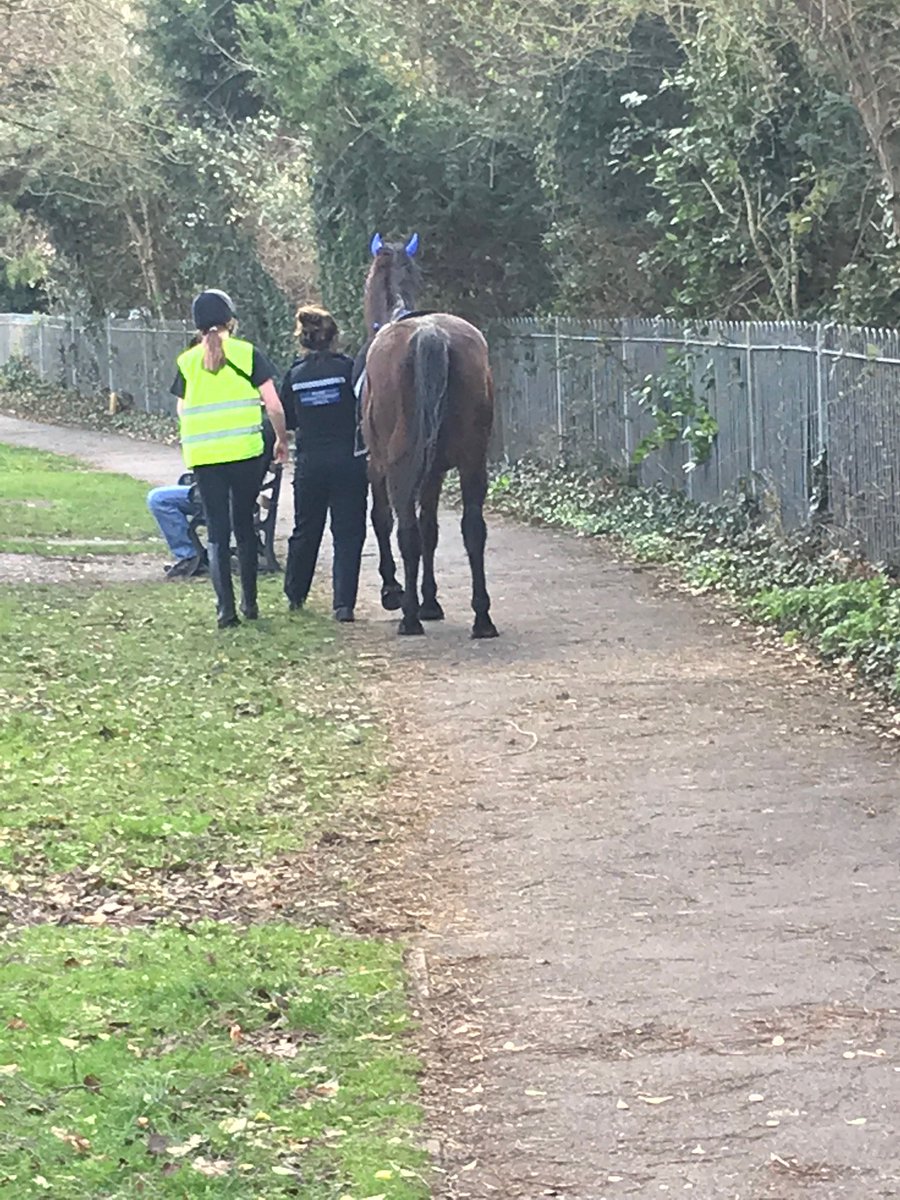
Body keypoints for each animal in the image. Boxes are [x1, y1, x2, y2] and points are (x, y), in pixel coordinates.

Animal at [360, 232, 499, 639]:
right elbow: (431, 530)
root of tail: (431, 334)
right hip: (471, 461)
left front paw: (396, 592)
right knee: (473, 529)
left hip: (400, 463)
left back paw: (408, 616)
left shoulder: (376, 465)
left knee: (405, 529)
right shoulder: (435, 470)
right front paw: (431, 600)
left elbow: (383, 520)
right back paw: (482, 618)